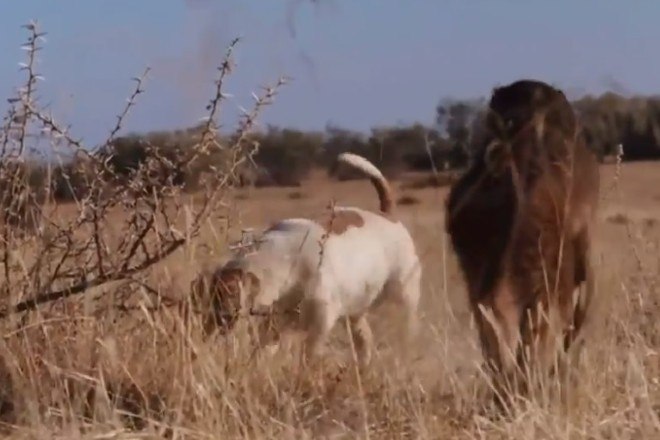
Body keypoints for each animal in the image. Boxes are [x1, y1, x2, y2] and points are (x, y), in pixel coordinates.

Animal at [197, 153, 422, 366]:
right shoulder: (272, 327)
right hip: (355, 312)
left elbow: (308, 355)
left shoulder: (320, 325)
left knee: (405, 331)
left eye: (225, 303)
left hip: (402, 299)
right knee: (365, 340)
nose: (205, 332)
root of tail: (387, 214)